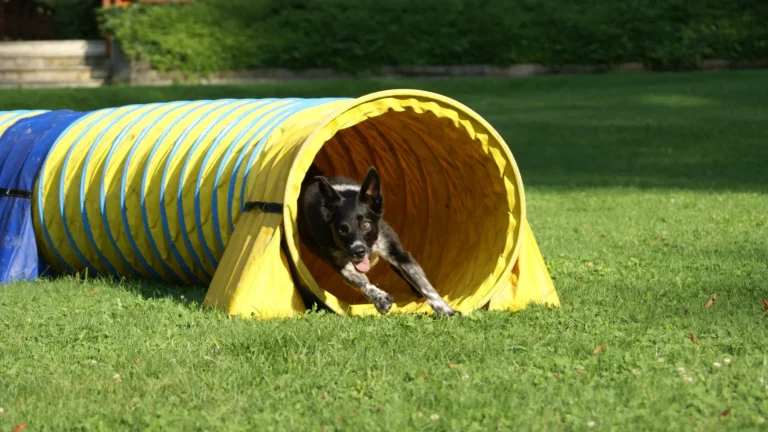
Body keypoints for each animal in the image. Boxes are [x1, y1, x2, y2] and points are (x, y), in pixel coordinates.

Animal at [298, 165, 456, 318]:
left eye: (366, 225)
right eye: (342, 230)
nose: (358, 252)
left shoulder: (396, 251)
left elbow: (423, 284)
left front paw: (446, 311)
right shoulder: (342, 265)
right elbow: (363, 283)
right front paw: (381, 300)